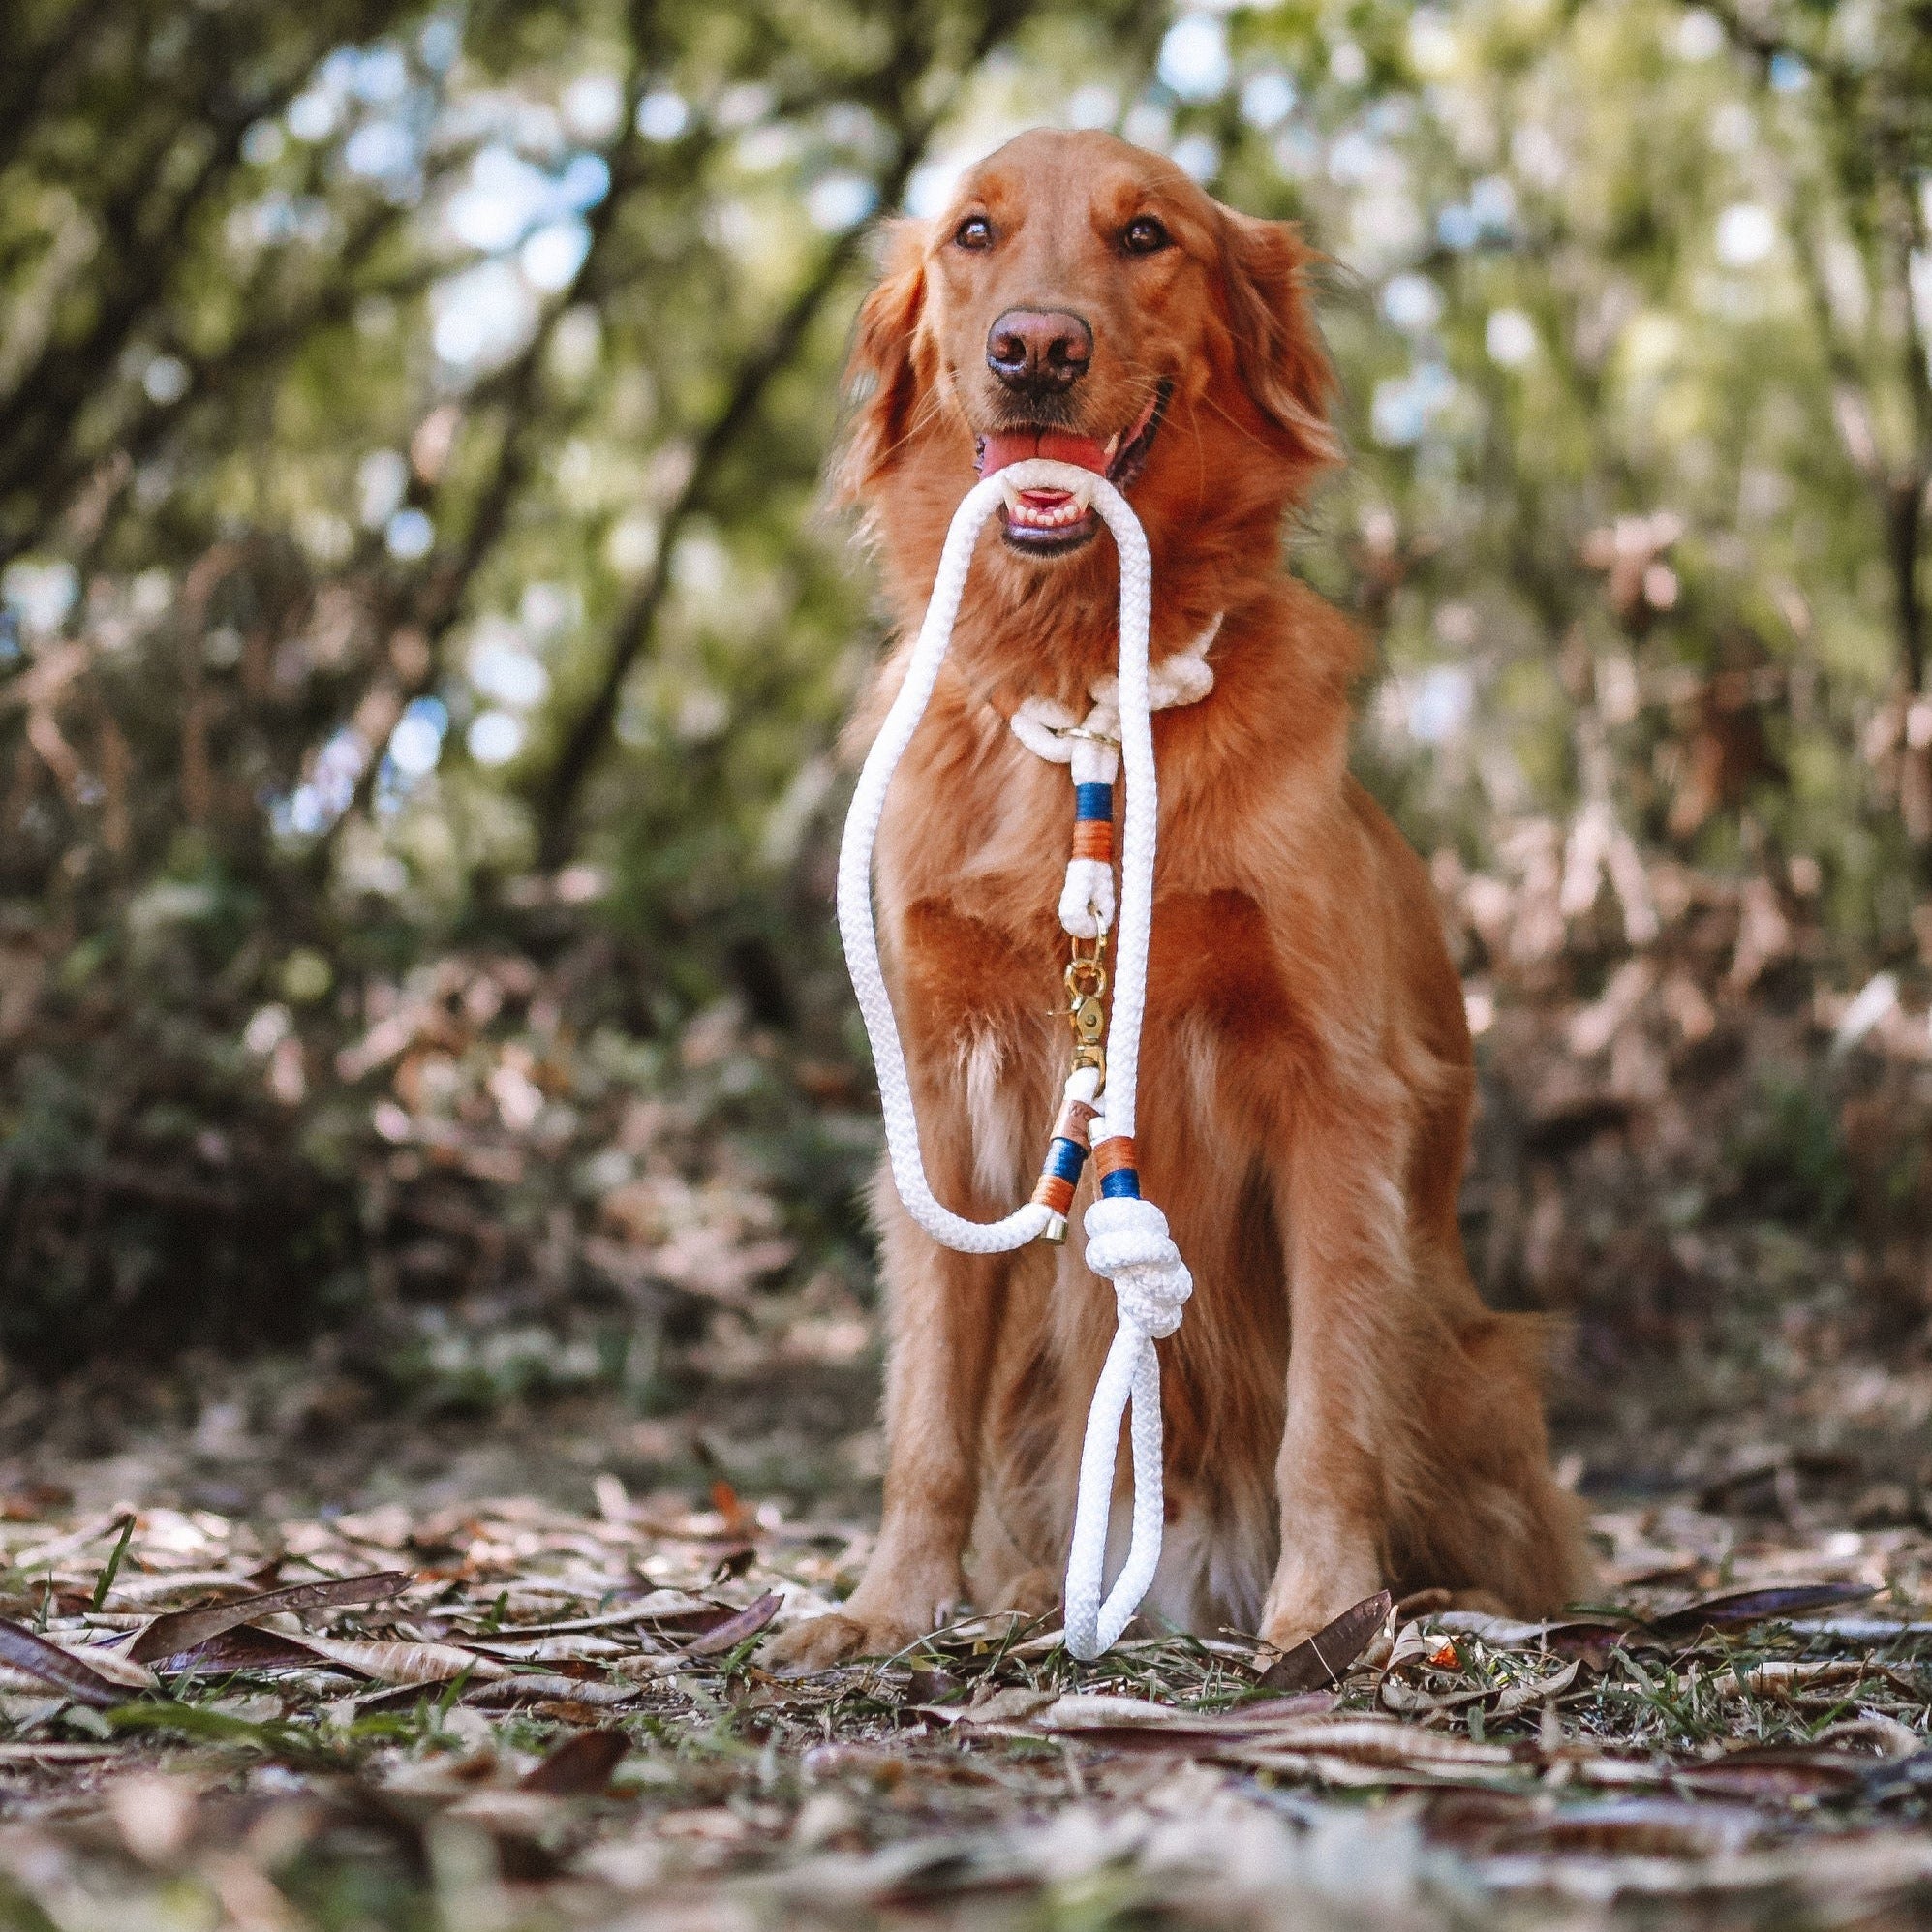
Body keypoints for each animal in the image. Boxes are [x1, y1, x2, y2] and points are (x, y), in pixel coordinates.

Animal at [765, 132, 1583, 1676]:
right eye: (973, 234)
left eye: (1145, 234)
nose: (1034, 347)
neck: (1086, 681)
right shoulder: (943, 1106)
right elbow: (926, 1418)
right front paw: (885, 1609)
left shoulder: (1335, 1098)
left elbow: (1329, 1410)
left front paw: (1322, 1614)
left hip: (1475, 1360)